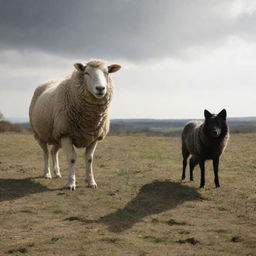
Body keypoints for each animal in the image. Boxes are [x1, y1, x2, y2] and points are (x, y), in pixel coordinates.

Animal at [29, 59, 121, 189]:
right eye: (86, 73)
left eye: (107, 72)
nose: (100, 88)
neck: (89, 119)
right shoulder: (66, 133)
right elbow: (72, 158)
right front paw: (71, 183)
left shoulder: (94, 137)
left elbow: (89, 159)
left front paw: (91, 182)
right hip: (40, 134)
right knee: (45, 153)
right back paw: (47, 173)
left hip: (56, 135)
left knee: (53, 151)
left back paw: (57, 172)